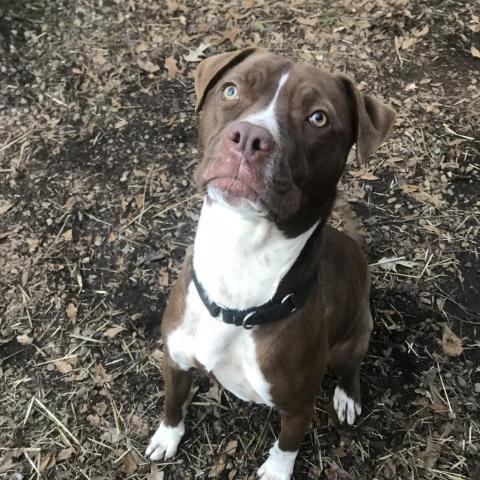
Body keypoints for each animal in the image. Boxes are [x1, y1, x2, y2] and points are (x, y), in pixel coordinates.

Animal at [145, 48, 394, 480]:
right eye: (230, 90)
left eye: (318, 118)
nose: (249, 137)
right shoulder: (175, 359)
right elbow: (173, 401)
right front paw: (167, 435)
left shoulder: (297, 406)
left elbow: (287, 445)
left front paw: (277, 470)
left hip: (356, 336)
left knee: (351, 367)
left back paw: (348, 396)